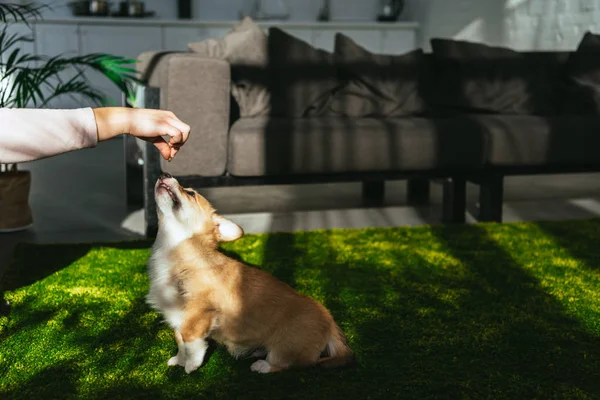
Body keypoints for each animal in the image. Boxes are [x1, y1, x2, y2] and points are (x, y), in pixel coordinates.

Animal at [146, 173, 352, 374]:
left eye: (190, 193)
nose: (164, 173)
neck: (173, 249)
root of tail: (330, 323)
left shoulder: (199, 310)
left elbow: (189, 337)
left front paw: (191, 365)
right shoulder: (176, 313)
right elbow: (180, 340)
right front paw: (180, 360)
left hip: (286, 345)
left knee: (287, 363)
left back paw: (262, 365)